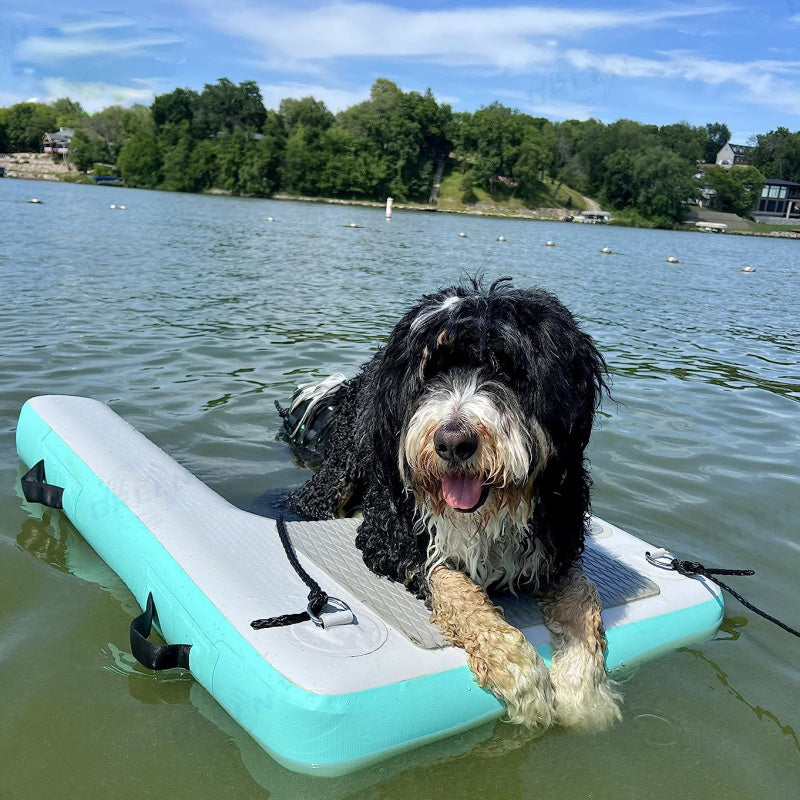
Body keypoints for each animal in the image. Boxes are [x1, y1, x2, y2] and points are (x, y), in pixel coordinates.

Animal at [282, 276, 624, 732]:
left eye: (508, 369)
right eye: (432, 370)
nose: (452, 442)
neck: (488, 513)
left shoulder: (557, 542)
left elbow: (584, 600)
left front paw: (585, 694)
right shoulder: (391, 539)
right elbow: (455, 586)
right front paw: (518, 673)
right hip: (340, 472)